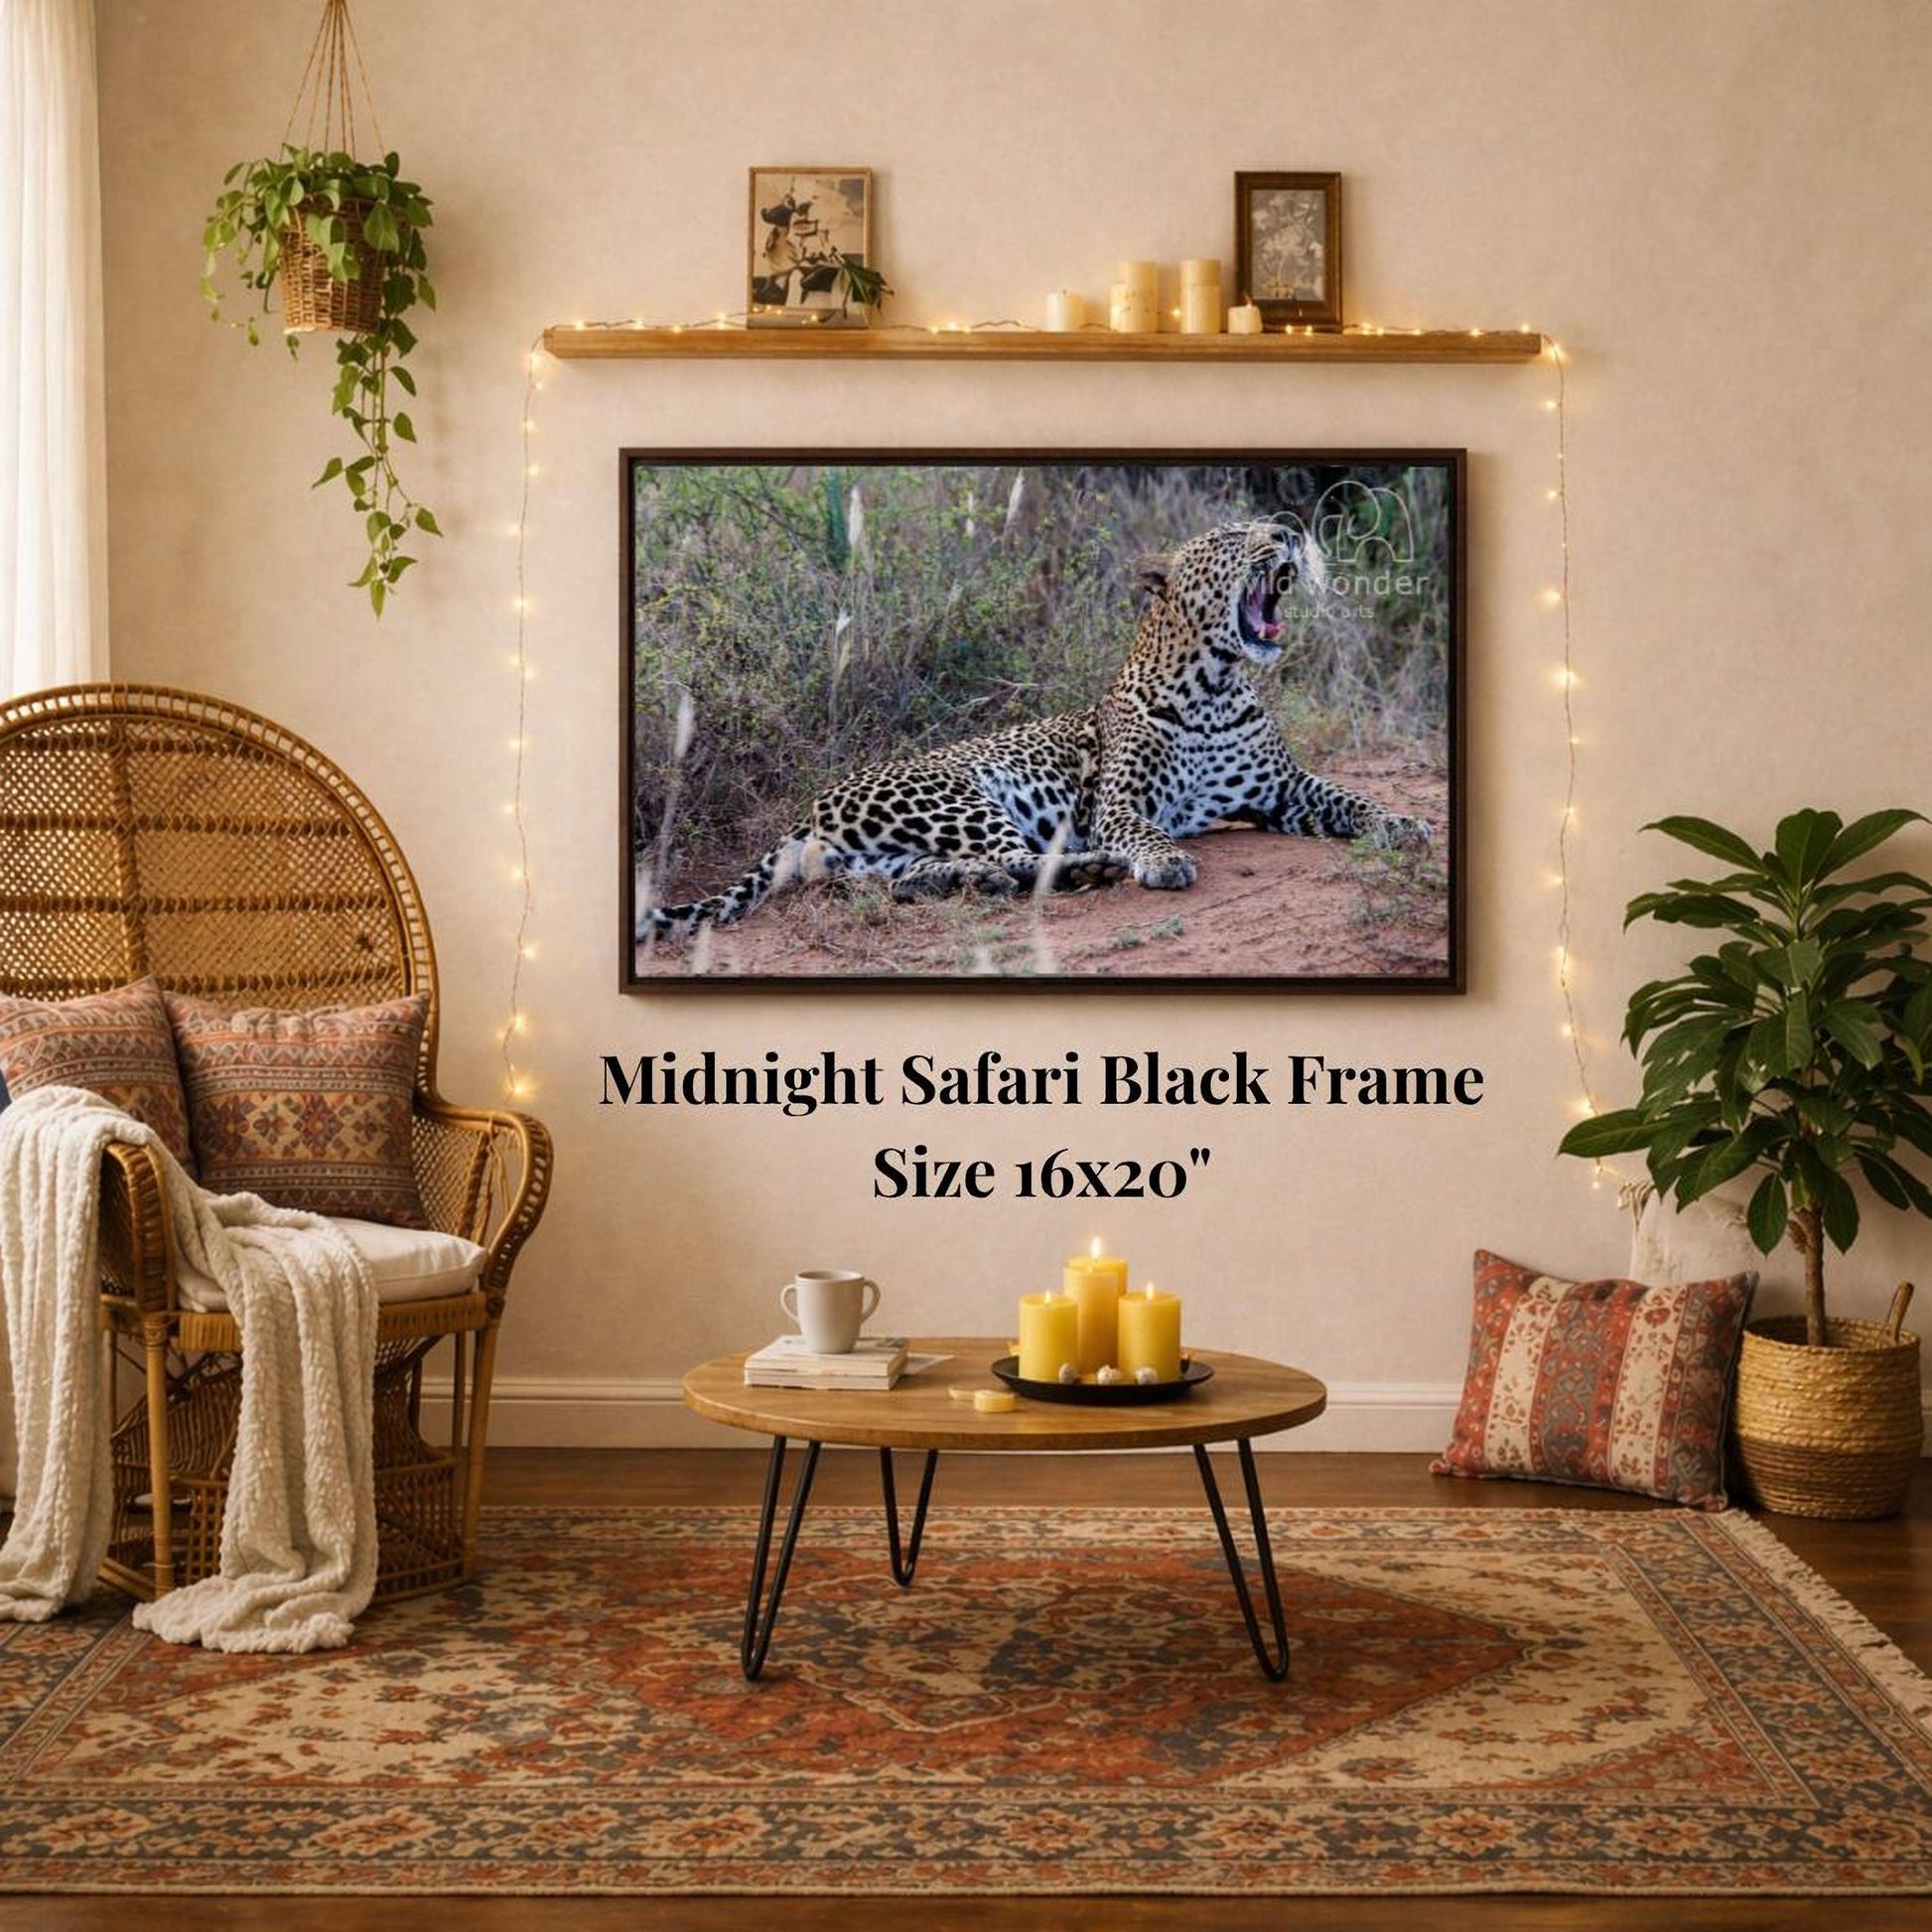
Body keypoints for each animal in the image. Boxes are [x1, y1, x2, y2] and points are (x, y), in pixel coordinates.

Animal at [637, 517, 1433, 943]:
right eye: (1236, 536)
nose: (1289, 530)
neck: (1214, 685)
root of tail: (809, 810)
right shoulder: (1120, 803)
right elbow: (1146, 831)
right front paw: (1163, 861)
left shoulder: (1284, 790)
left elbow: (1350, 799)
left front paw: (1404, 825)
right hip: (961, 797)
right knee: (1025, 859)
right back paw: (1089, 867)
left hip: (889, 853)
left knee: (915, 880)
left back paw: (983, 881)